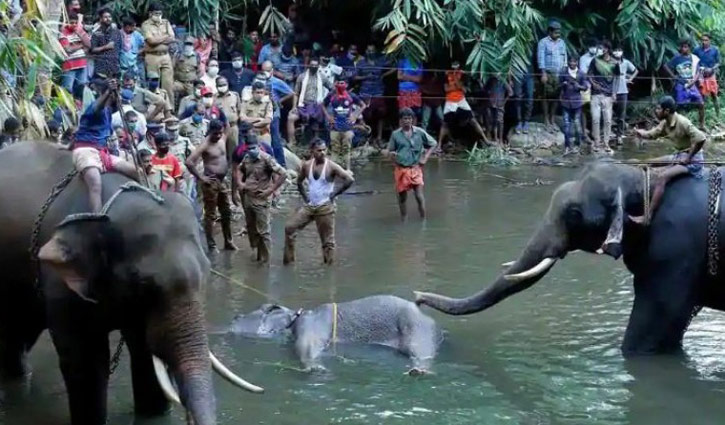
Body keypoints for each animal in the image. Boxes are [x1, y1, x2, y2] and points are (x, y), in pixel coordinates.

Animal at [0, 142, 262, 425]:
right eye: (143, 284)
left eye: (207, 274)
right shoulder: (60, 281)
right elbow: (87, 361)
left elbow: (145, 353)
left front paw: (153, 414)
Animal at [228, 295, 443, 373]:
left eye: (264, 309)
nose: (234, 316)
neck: (295, 317)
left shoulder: (311, 327)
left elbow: (307, 347)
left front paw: (315, 367)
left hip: (417, 329)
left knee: (421, 352)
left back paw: (418, 371)